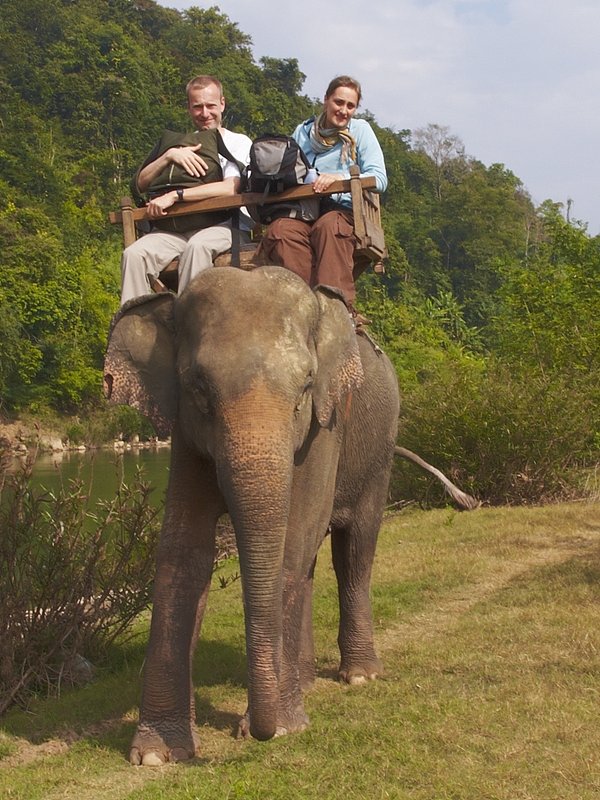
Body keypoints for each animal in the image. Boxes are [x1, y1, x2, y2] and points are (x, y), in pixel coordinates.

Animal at [103, 265, 400, 765]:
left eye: (306, 385)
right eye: (198, 388)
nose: (254, 734)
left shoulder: (325, 427)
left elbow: (294, 540)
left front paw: (280, 727)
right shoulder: (185, 438)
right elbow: (182, 552)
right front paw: (157, 754)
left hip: (379, 452)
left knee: (354, 551)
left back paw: (359, 674)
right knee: (312, 567)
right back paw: (306, 683)